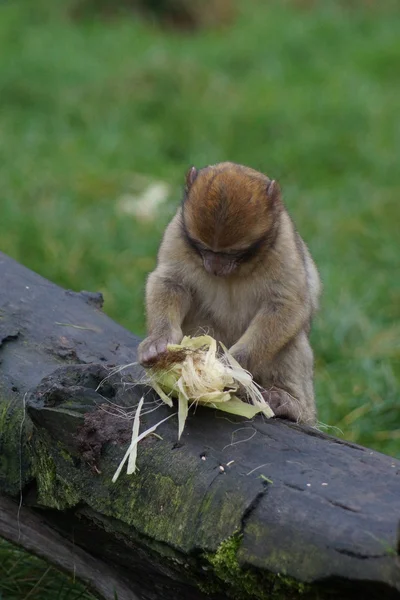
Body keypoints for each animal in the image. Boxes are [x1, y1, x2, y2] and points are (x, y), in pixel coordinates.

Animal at [138, 162, 322, 424]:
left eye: (234, 253)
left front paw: (230, 367)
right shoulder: (177, 232)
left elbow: (287, 305)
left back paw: (291, 405)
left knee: (292, 341)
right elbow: (170, 282)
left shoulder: (283, 244)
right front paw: (159, 341)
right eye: (203, 248)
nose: (214, 267)